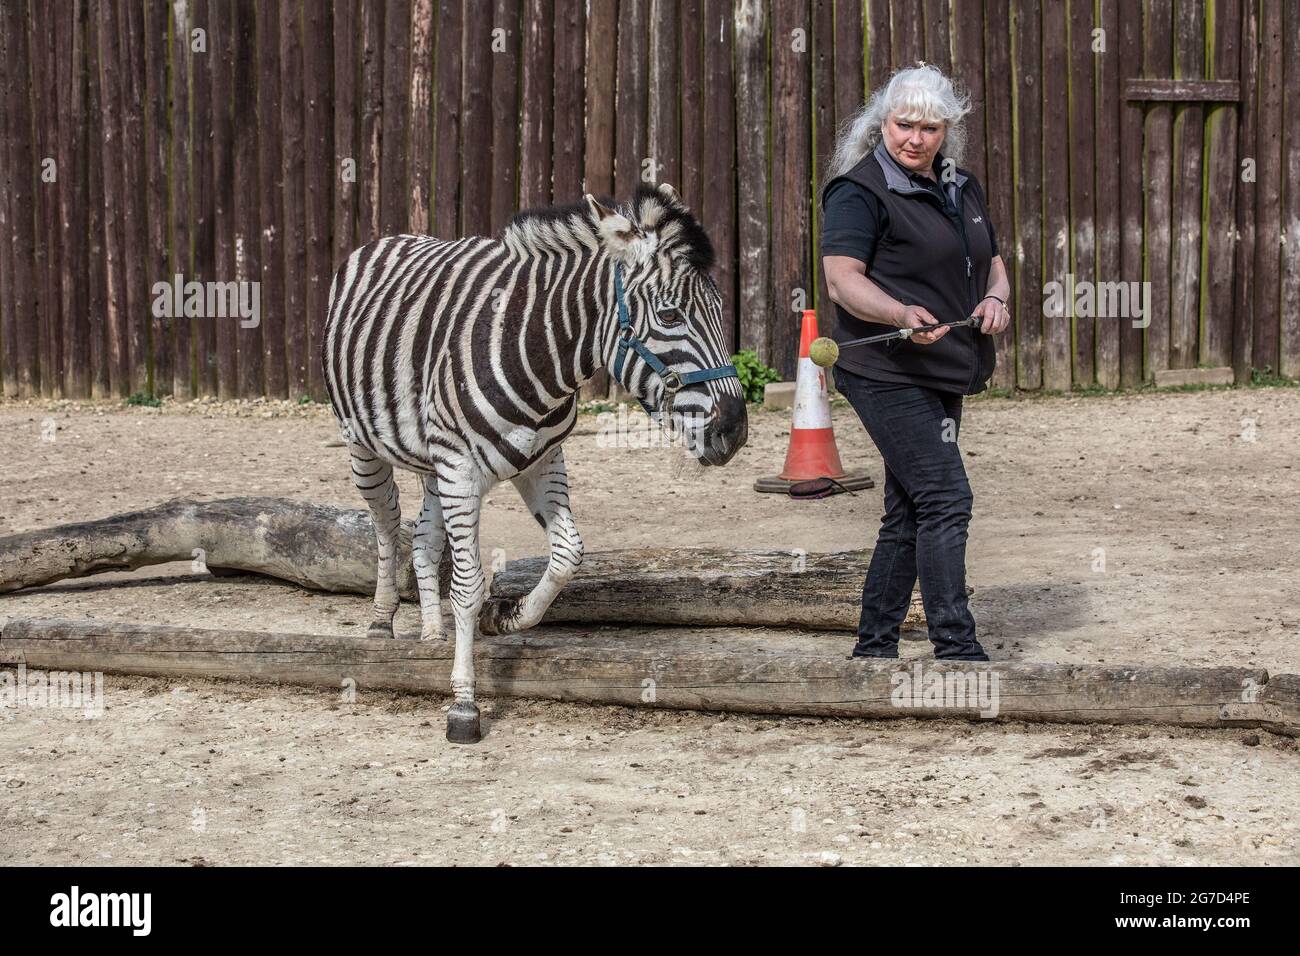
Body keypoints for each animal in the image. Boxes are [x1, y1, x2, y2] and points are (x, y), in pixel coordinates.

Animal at [322, 183, 754, 743]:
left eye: (721, 309)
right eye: (669, 317)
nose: (735, 430)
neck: (540, 356)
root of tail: (389, 237)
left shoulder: (541, 458)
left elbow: (567, 554)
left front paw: (506, 615)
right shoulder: (460, 468)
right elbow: (468, 584)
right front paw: (464, 704)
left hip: (432, 463)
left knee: (422, 536)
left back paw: (433, 633)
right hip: (363, 445)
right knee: (384, 521)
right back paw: (381, 621)